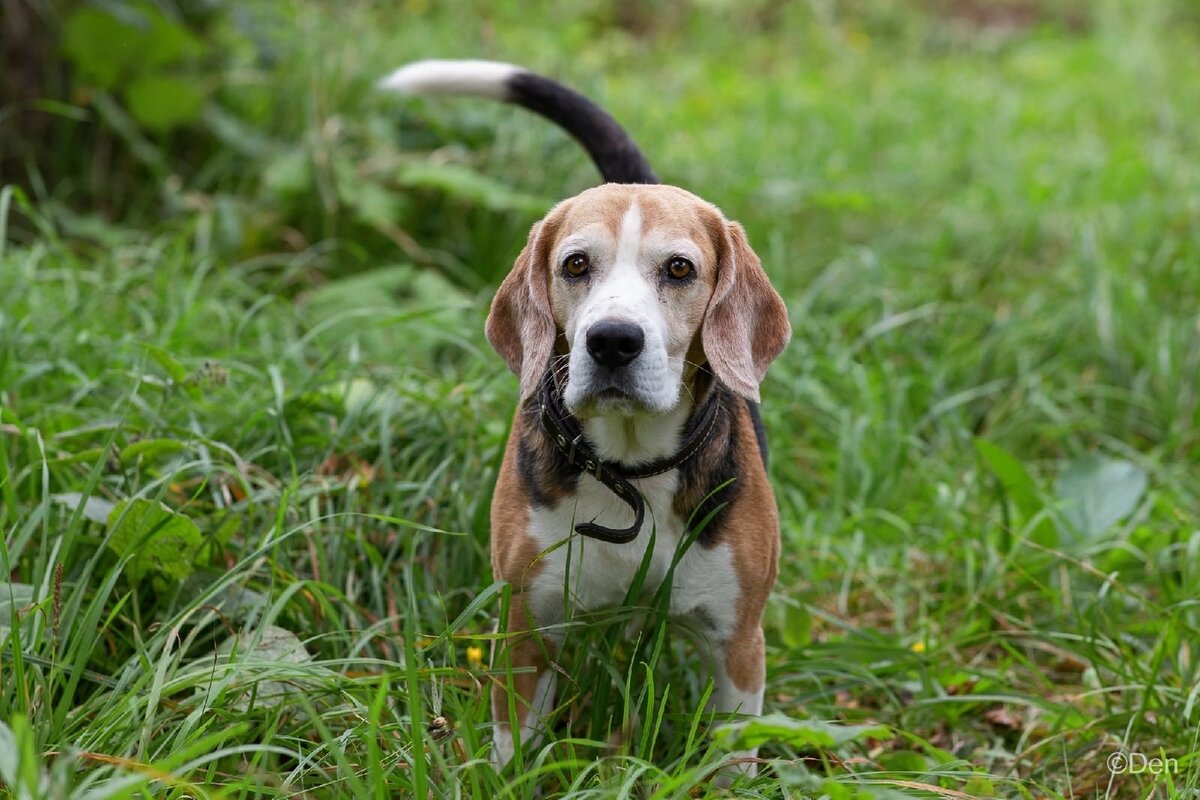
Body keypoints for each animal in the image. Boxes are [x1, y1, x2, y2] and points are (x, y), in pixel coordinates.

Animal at [379, 59, 792, 777]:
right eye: (575, 265)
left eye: (679, 269)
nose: (613, 341)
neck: (632, 472)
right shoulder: (527, 626)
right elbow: (514, 746)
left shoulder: (738, 641)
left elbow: (734, 755)